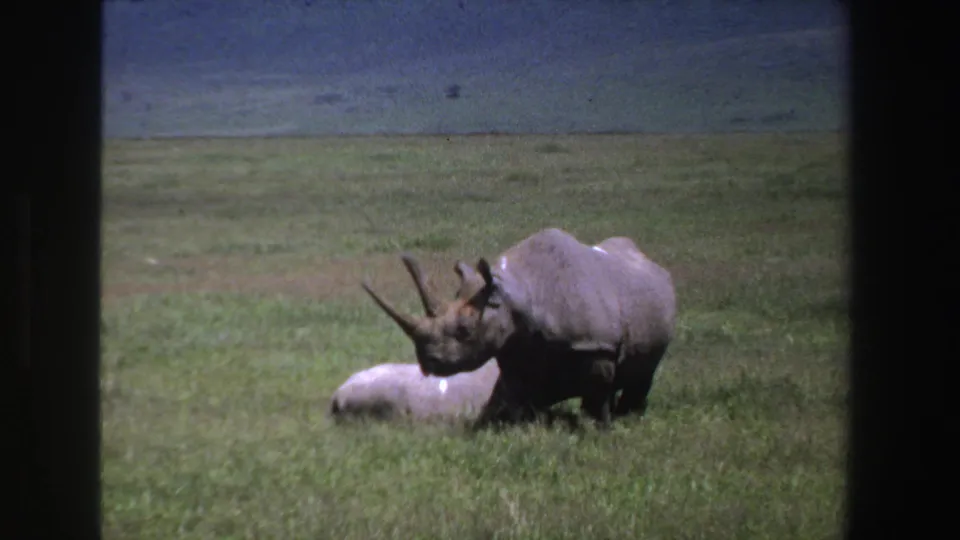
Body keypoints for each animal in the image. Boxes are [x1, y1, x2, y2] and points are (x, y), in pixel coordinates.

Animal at [360, 228, 677, 427]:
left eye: (465, 331)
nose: (428, 363)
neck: (517, 295)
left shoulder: (596, 344)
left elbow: (596, 396)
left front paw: (600, 429)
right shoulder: (515, 347)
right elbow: (506, 398)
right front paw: (499, 426)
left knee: (643, 371)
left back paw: (628, 416)